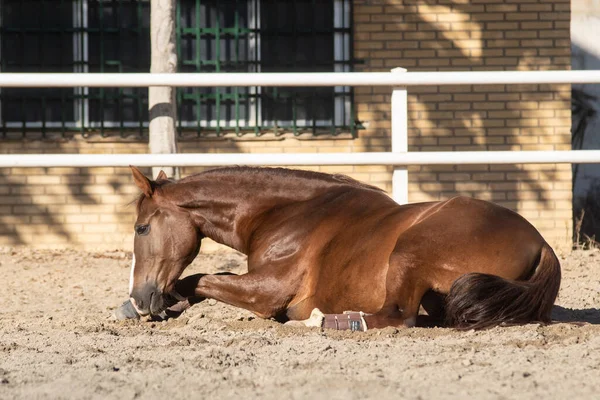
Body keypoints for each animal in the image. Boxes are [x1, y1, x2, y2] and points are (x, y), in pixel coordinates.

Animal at [115, 166, 560, 332]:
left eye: (141, 227)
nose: (139, 296)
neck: (289, 213)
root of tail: (541, 243)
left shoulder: (267, 291)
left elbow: (199, 279)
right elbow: (195, 283)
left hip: (410, 251)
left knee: (397, 316)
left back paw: (327, 321)